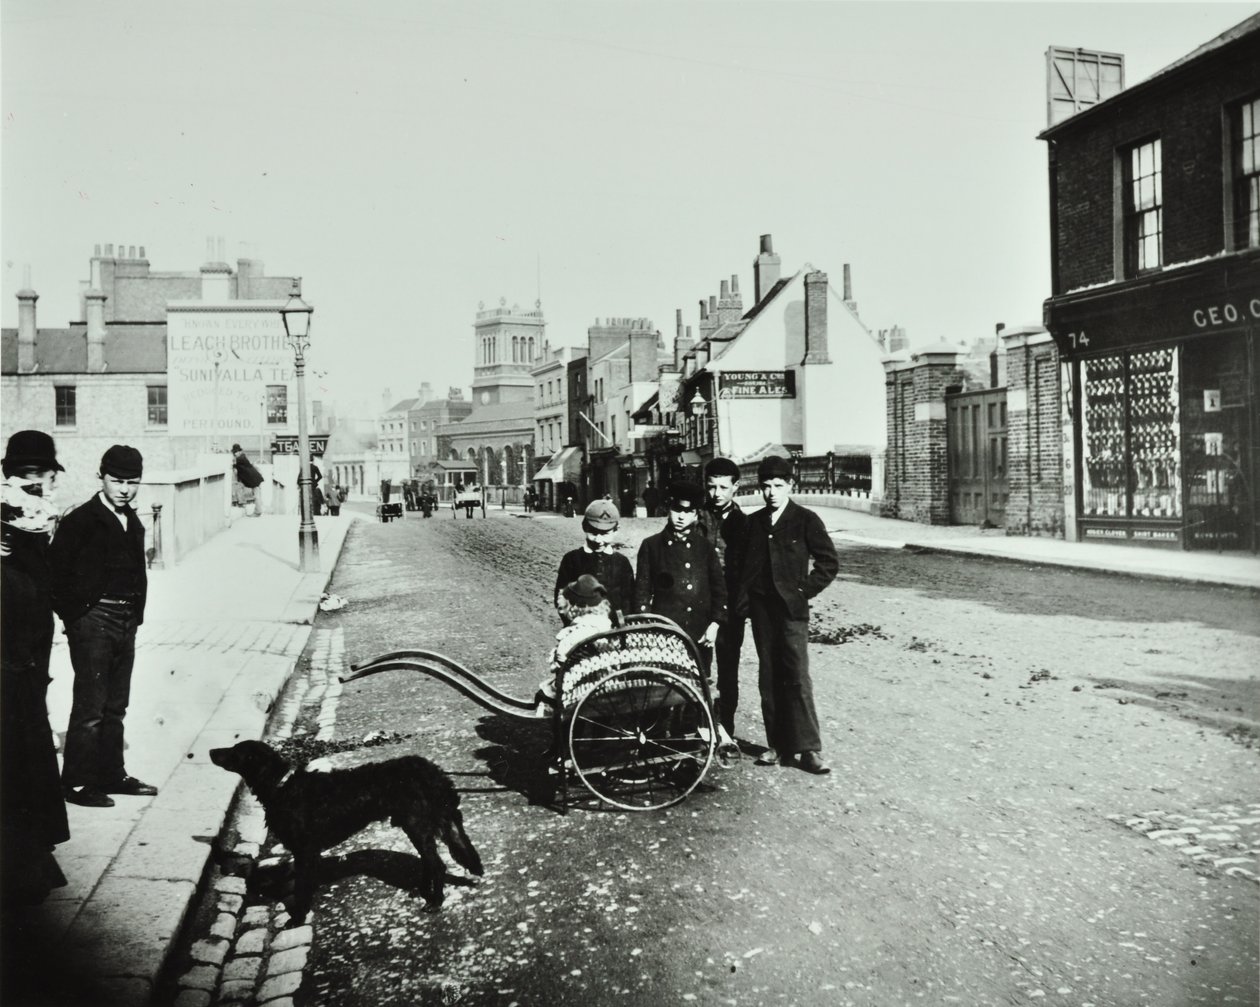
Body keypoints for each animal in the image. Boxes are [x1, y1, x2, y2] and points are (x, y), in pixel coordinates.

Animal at [206, 741, 481, 922]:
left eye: (234, 751)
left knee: (437, 865)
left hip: (417, 824)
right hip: (418, 825)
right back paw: (424, 890)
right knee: (429, 862)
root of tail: (433, 772)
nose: (210, 751)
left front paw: (297, 919)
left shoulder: (305, 851)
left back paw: (435, 902)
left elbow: (302, 888)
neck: (282, 786)